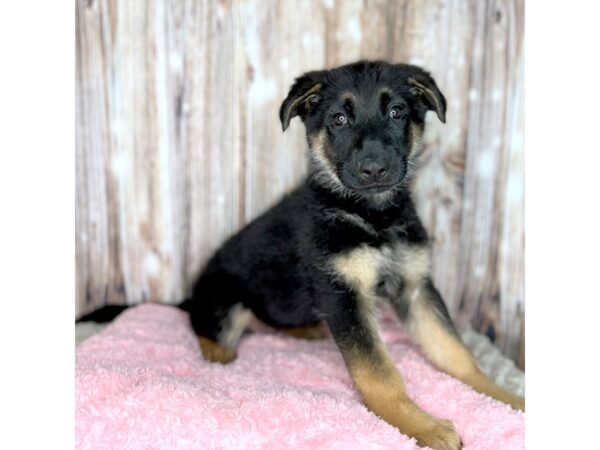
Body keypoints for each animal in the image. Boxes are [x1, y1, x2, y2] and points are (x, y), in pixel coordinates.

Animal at [180, 60, 524, 450]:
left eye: (396, 112)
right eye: (339, 119)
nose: (374, 169)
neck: (372, 216)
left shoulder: (414, 287)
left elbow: (456, 351)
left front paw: (506, 398)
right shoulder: (343, 295)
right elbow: (379, 372)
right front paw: (421, 425)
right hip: (224, 298)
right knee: (204, 326)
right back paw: (218, 353)